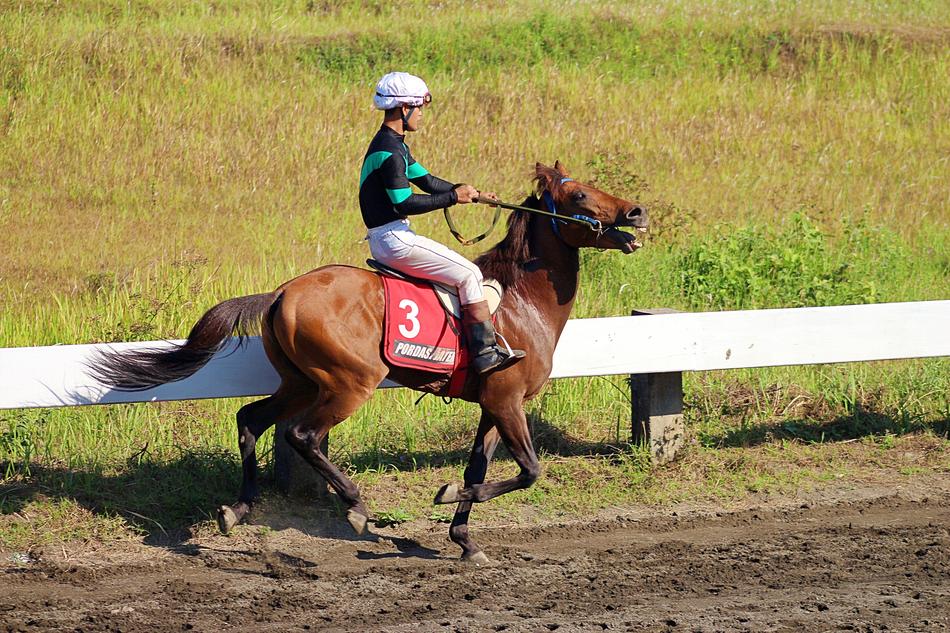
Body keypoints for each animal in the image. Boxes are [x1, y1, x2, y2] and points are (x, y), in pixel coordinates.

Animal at [90, 161, 648, 563]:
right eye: (580, 196)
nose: (637, 212)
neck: (518, 303)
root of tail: (281, 293)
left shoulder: (493, 404)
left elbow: (479, 468)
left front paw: (464, 538)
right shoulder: (507, 400)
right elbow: (529, 470)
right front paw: (447, 496)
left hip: (301, 382)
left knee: (250, 418)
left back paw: (239, 508)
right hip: (349, 383)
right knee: (302, 436)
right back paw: (356, 507)